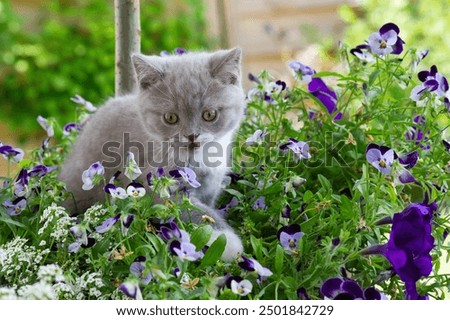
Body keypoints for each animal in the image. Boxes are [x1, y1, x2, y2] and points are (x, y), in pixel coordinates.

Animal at [59, 48, 246, 262]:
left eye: (210, 115)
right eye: (170, 117)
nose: (191, 136)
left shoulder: (211, 188)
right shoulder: (154, 186)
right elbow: (191, 210)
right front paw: (227, 243)